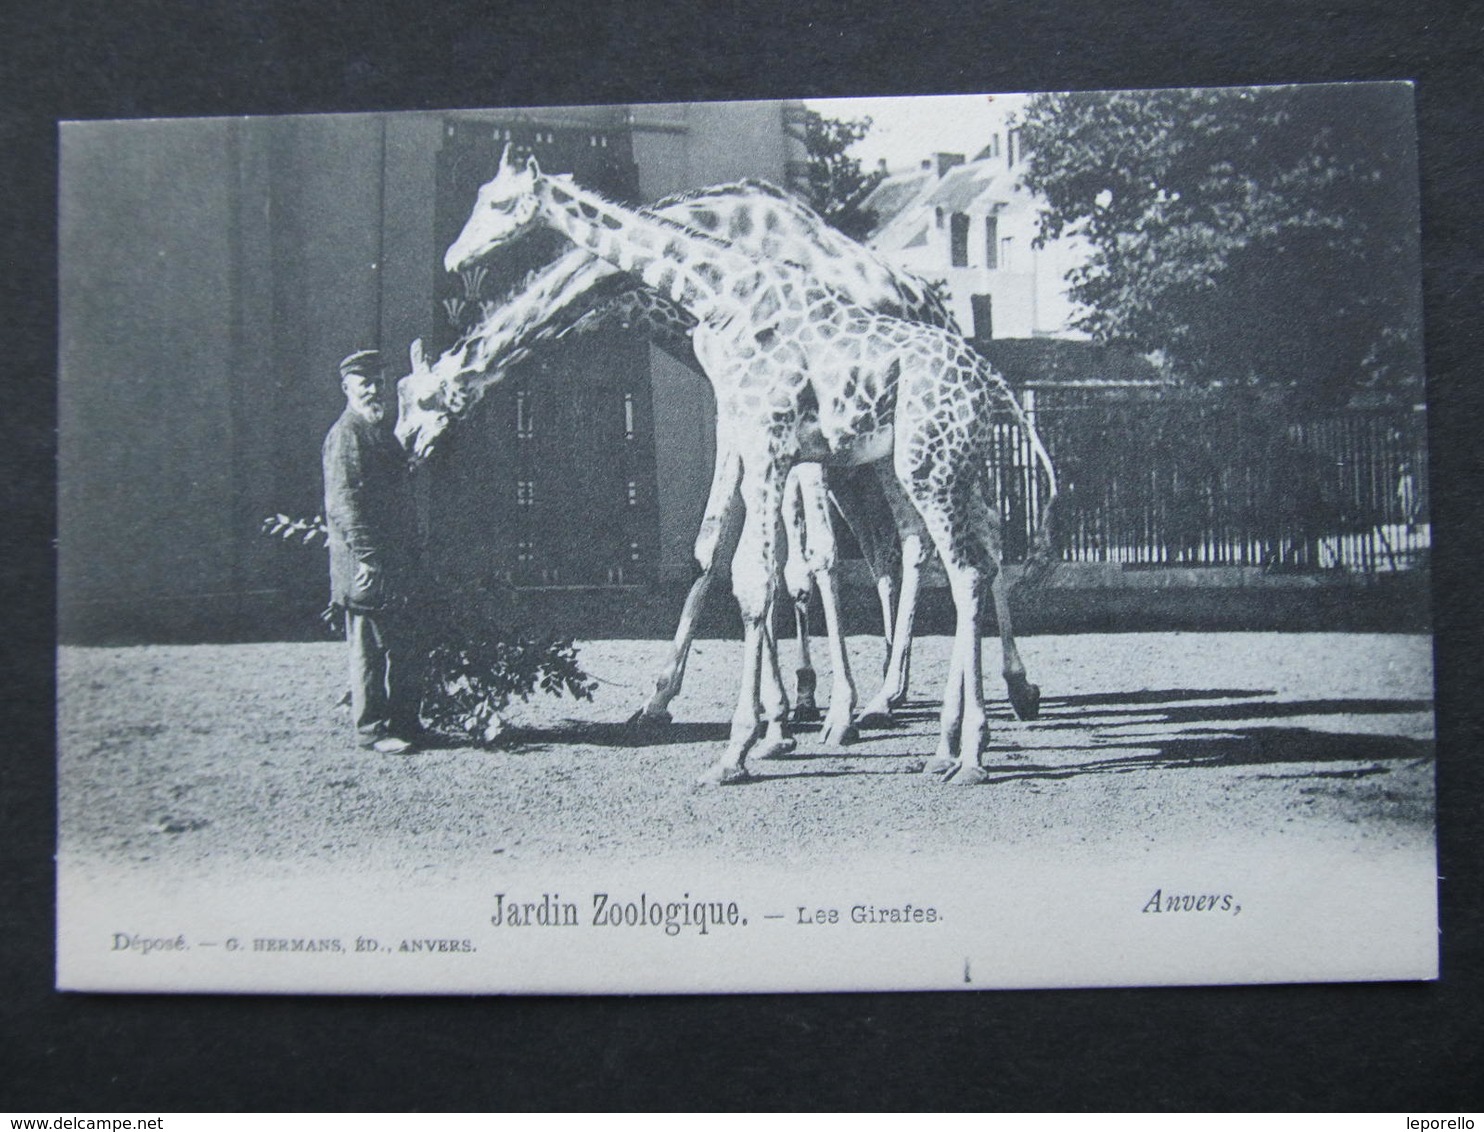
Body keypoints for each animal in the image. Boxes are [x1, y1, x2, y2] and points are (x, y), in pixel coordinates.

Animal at [445, 148, 1062, 789]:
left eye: (498, 202)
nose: (455, 259)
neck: (722, 290)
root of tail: (991, 380)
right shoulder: (755, 440)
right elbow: (738, 563)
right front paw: (767, 722)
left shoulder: (768, 441)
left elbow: (765, 574)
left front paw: (747, 742)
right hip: (927, 467)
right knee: (956, 555)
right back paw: (943, 735)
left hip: (926, 468)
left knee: (964, 564)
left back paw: (968, 742)